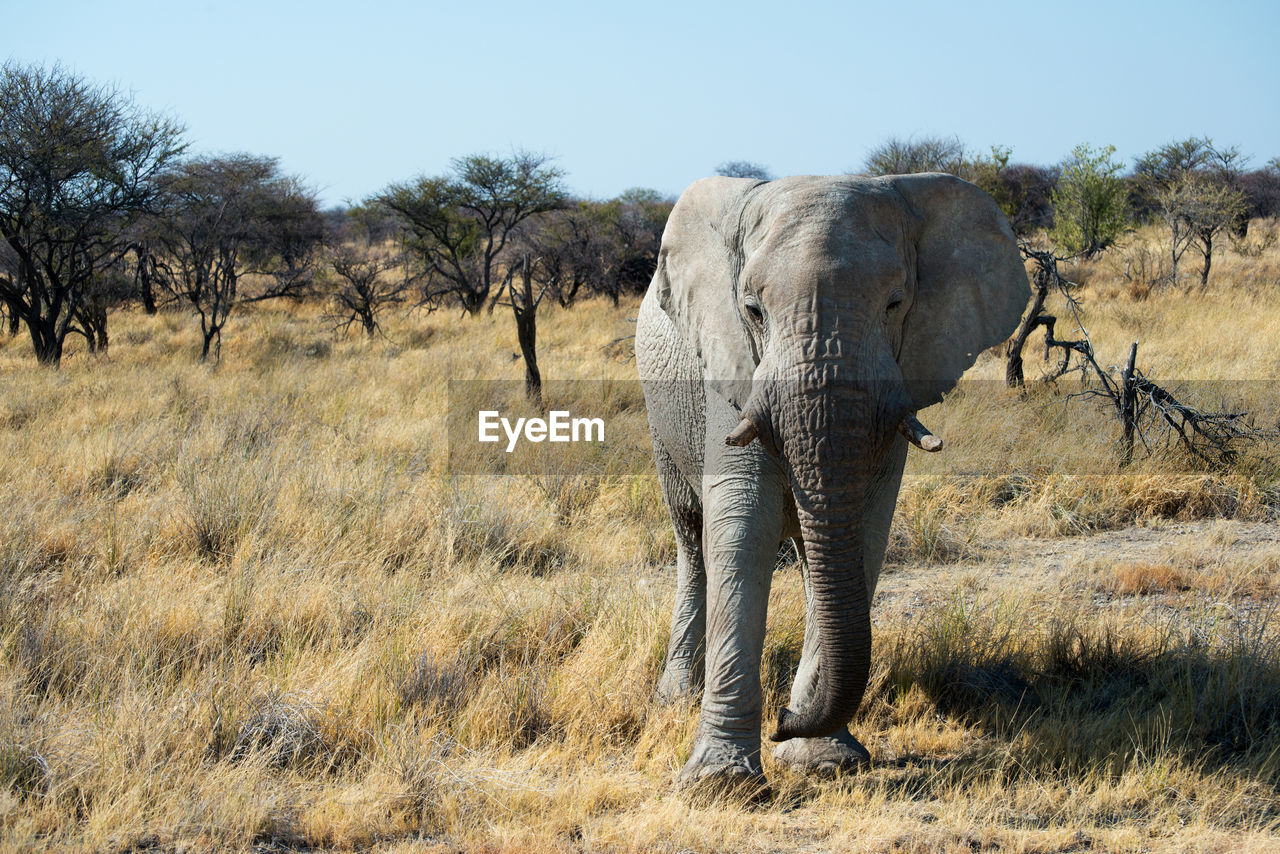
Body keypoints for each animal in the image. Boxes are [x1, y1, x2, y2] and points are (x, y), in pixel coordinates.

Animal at [632, 171, 1029, 788]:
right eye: (753, 310)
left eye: (895, 303)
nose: (781, 723)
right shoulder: (735, 373)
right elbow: (741, 528)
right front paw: (722, 784)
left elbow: (864, 532)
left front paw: (822, 761)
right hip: (661, 418)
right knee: (692, 537)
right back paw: (675, 697)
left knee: (811, 555)